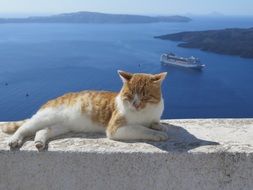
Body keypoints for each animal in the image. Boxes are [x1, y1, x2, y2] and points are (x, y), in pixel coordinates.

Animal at [0, 70, 168, 151]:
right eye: (130, 94)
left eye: (145, 96)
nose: (135, 104)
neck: (145, 113)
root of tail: (52, 100)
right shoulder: (115, 128)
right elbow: (140, 128)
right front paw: (157, 134)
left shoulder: (153, 116)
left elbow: (154, 123)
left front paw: (159, 126)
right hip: (44, 117)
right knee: (24, 127)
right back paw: (14, 140)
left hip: (61, 126)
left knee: (42, 131)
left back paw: (40, 143)